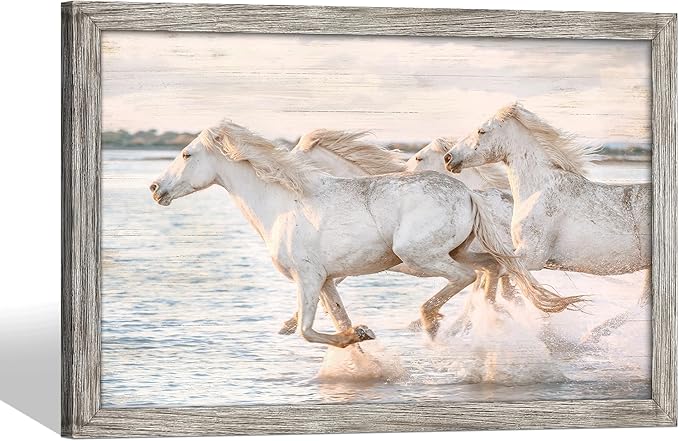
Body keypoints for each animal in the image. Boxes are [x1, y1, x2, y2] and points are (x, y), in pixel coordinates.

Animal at [149, 120, 582, 348]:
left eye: (186, 154)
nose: (156, 189)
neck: (284, 205)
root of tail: (469, 192)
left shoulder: (308, 278)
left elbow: (308, 330)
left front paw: (357, 335)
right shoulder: (326, 280)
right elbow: (332, 316)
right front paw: (355, 336)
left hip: (420, 256)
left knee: (469, 278)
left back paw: (434, 323)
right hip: (456, 251)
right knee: (493, 269)